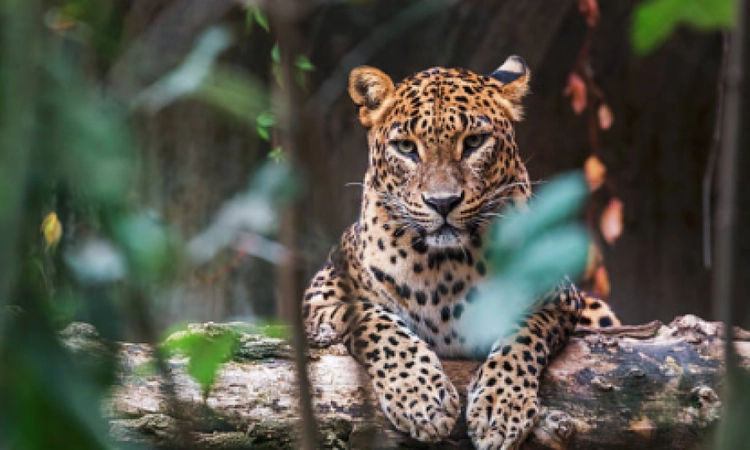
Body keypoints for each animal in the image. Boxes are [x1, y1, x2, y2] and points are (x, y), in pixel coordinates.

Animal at [302, 55, 620, 449]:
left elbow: (521, 336)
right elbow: (377, 325)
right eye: (406, 147)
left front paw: (500, 409)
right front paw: (422, 399)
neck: (445, 266)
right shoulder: (321, 297)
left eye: (474, 142)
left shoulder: (558, 297)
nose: (443, 202)